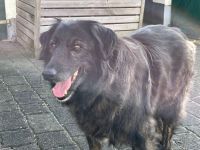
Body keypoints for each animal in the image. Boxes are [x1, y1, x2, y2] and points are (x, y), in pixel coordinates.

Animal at [39, 19, 195, 149]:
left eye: (77, 46)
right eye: (53, 44)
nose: (47, 74)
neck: (105, 87)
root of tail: (177, 30)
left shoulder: (144, 137)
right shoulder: (92, 134)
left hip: (172, 107)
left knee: (167, 135)